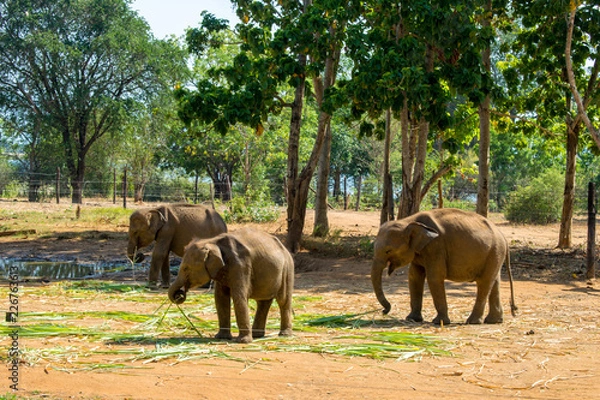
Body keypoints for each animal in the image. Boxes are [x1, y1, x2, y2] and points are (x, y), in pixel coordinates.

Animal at [370, 208, 516, 326]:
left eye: (388, 251)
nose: (384, 311)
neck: (408, 221)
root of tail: (504, 238)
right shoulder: (420, 250)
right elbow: (414, 277)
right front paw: (412, 319)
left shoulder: (436, 246)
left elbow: (434, 277)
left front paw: (439, 322)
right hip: (494, 255)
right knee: (494, 282)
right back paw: (494, 321)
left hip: (494, 252)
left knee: (484, 283)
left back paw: (473, 322)